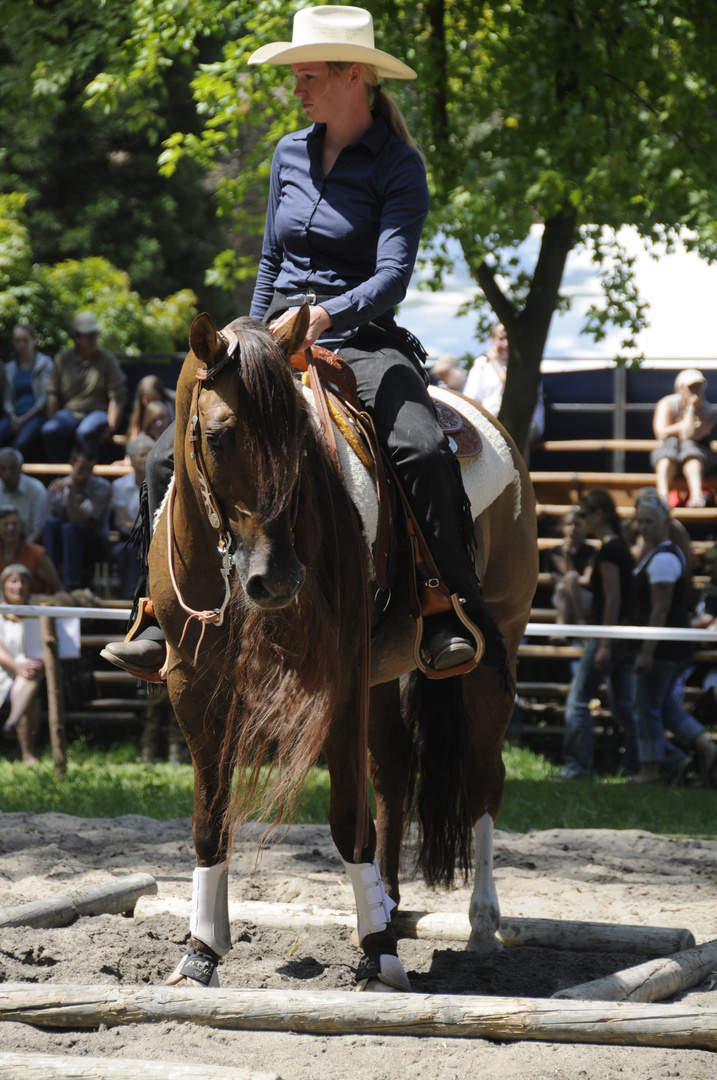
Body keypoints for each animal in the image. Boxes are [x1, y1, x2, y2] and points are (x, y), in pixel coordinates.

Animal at [146, 308, 537, 989]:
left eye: (299, 442)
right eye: (218, 437)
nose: (275, 579)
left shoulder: (337, 679)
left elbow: (348, 818)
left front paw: (378, 952)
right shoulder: (191, 685)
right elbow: (209, 819)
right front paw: (201, 950)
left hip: (492, 655)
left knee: (483, 776)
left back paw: (481, 922)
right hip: (381, 674)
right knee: (393, 771)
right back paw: (391, 899)